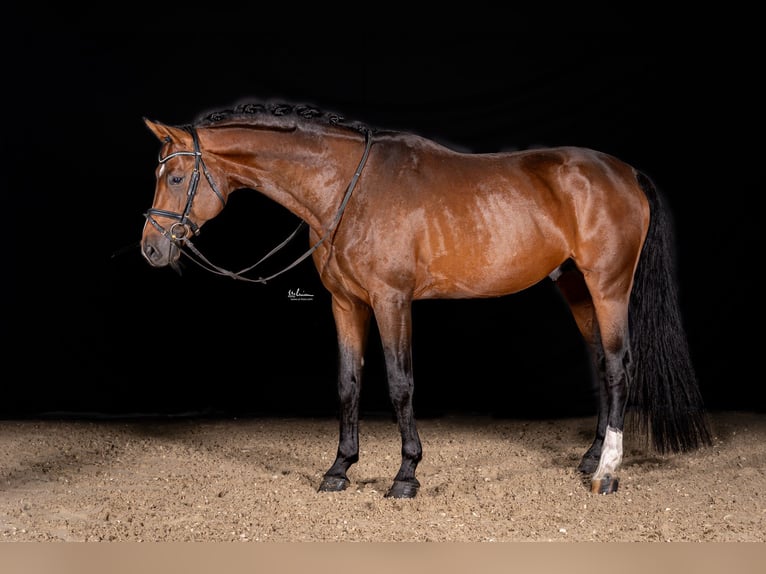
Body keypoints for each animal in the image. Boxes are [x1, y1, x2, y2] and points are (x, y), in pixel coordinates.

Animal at [140, 100, 711, 498]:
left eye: (176, 176)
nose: (150, 247)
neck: (349, 189)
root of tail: (624, 172)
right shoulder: (346, 304)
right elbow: (348, 384)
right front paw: (339, 469)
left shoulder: (392, 300)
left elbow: (399, 384)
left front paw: (406, 474)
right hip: (576, 288)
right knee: (600, 366)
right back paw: (592, 459)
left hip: (608, 286)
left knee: (617, 366)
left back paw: (608, 474)